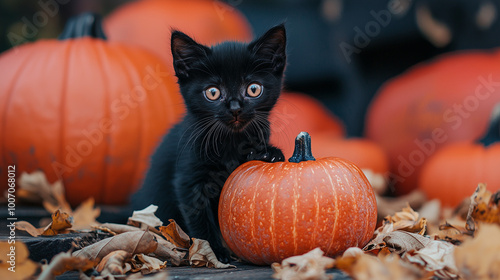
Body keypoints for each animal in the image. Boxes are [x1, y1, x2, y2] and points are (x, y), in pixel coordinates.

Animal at [133, 24, 288, 262]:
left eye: (253, 89)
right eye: (213, 92)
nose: (235, 108)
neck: (231, 142)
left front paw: (269, 154)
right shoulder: (188, 179)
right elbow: (200, 219)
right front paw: (214, 252)